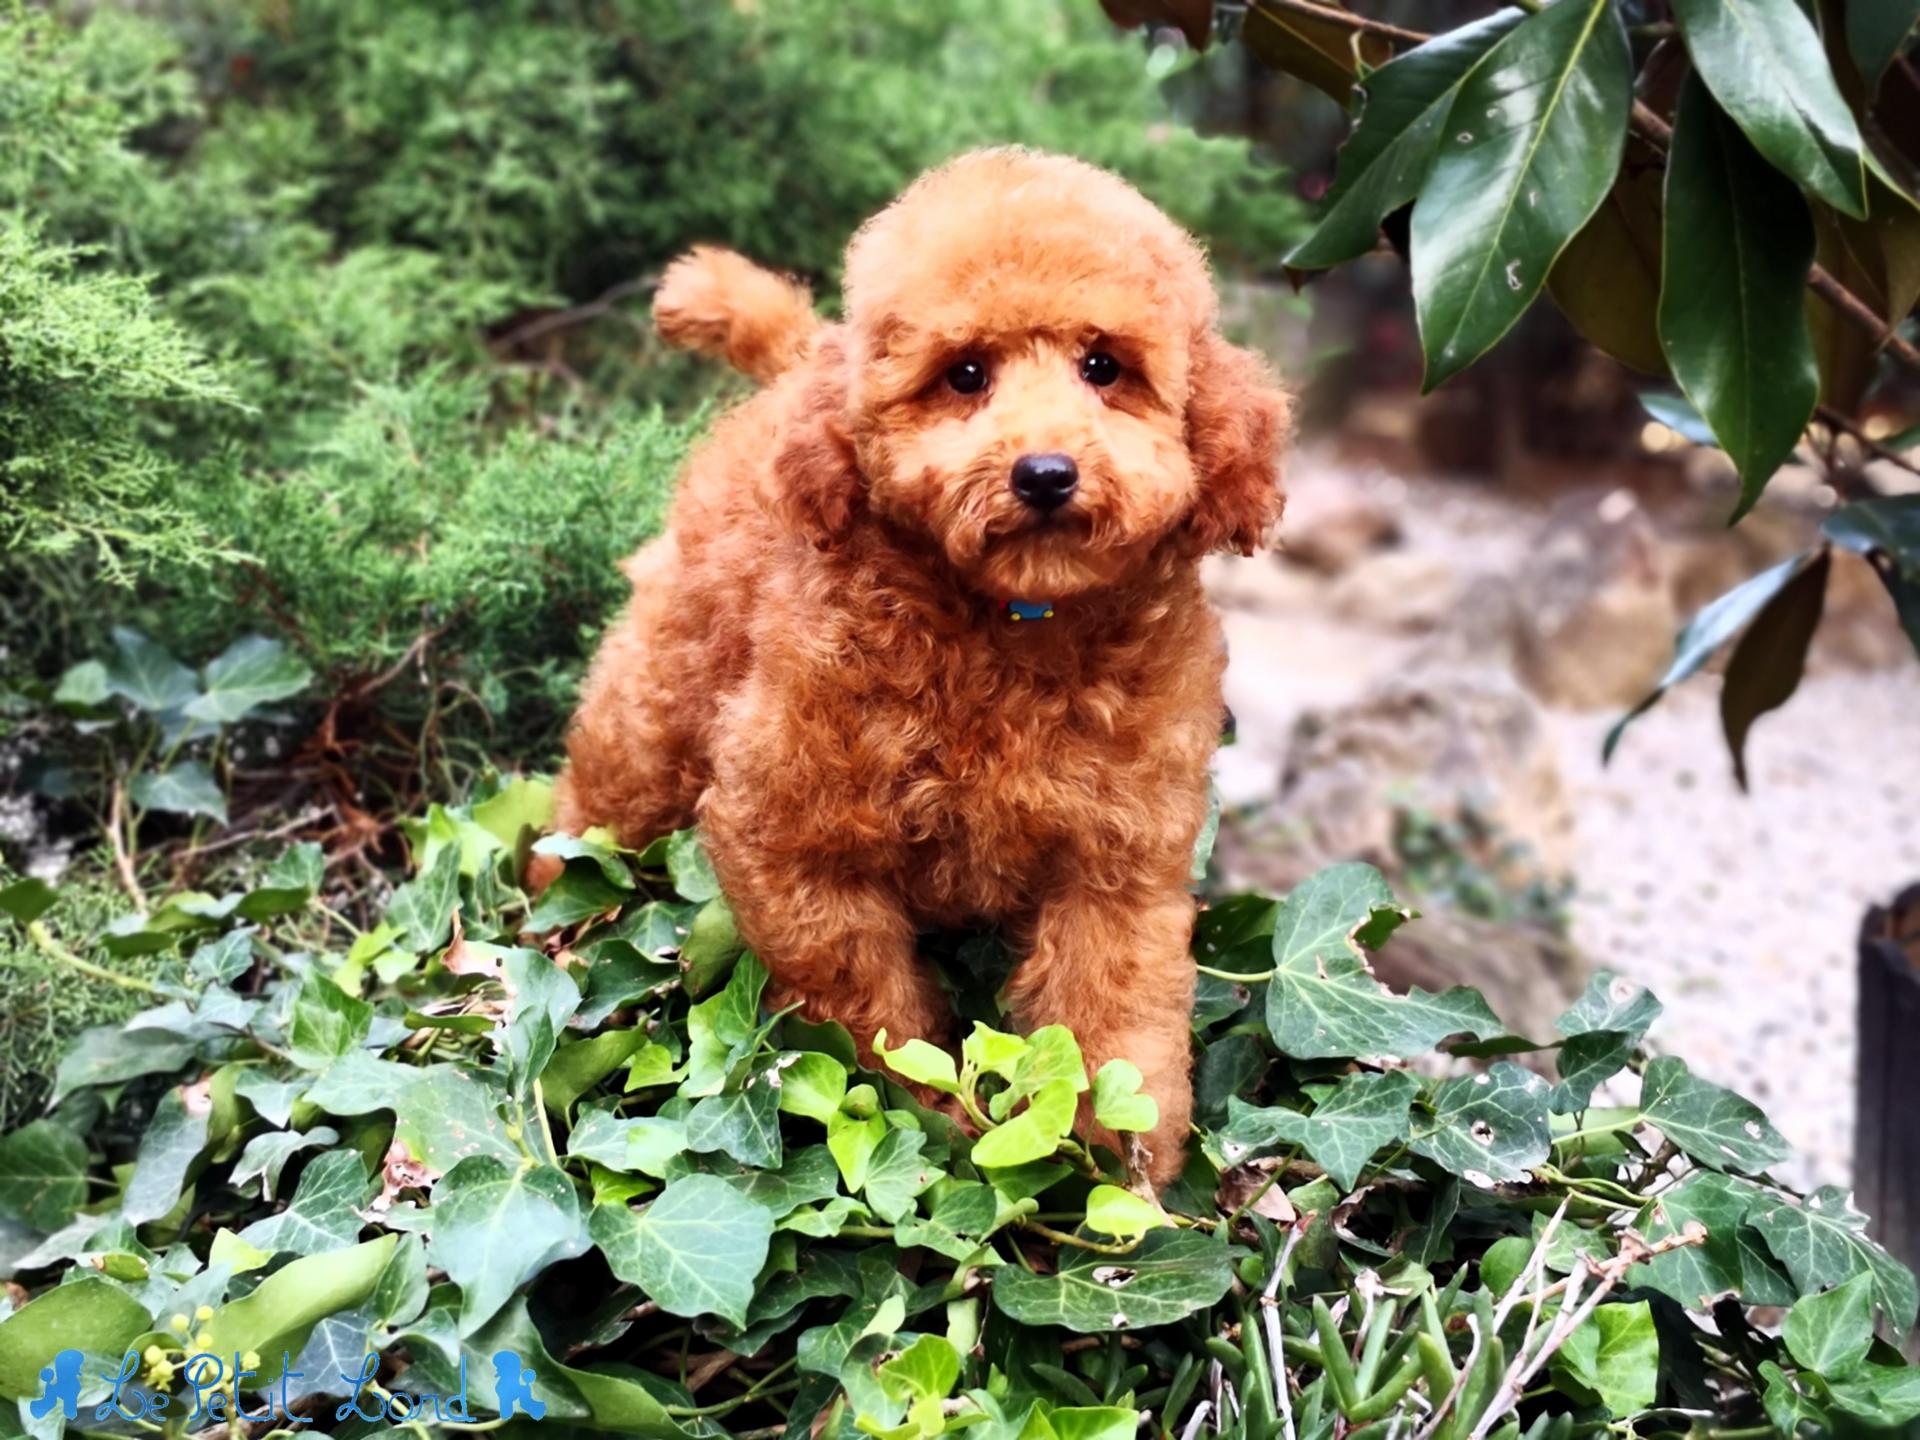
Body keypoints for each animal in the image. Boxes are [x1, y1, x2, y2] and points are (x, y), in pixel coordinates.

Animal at [549, 146, 1282, 1190]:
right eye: (964, 375)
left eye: (1104, 367)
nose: (1045, 472)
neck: (1012, 622)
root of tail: (804, 358)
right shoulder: (793, 838)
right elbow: (866, 1015)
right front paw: (925, 1115)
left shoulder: (1120, 859)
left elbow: (1113, 1010)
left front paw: (1116, 1166)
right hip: (658, 697)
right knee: (600, 799)